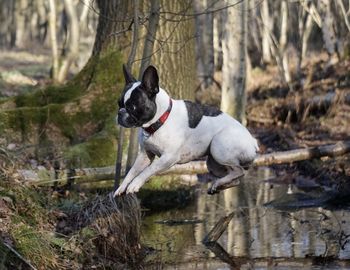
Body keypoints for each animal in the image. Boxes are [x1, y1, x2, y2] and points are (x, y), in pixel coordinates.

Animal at [113, 65, 258, 196]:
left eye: (133, 107)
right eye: (119, 104)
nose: (120, 113)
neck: (160, 120)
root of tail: (253, 142)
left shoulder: (168, 158)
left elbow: (147, 171)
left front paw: (134, 184)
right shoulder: (144, 156)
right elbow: (131, 172)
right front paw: (121, 188)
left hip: (218, 148)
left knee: (239, 171)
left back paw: (219, 183)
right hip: (213, 163)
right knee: (236, 178)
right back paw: (218, 185)